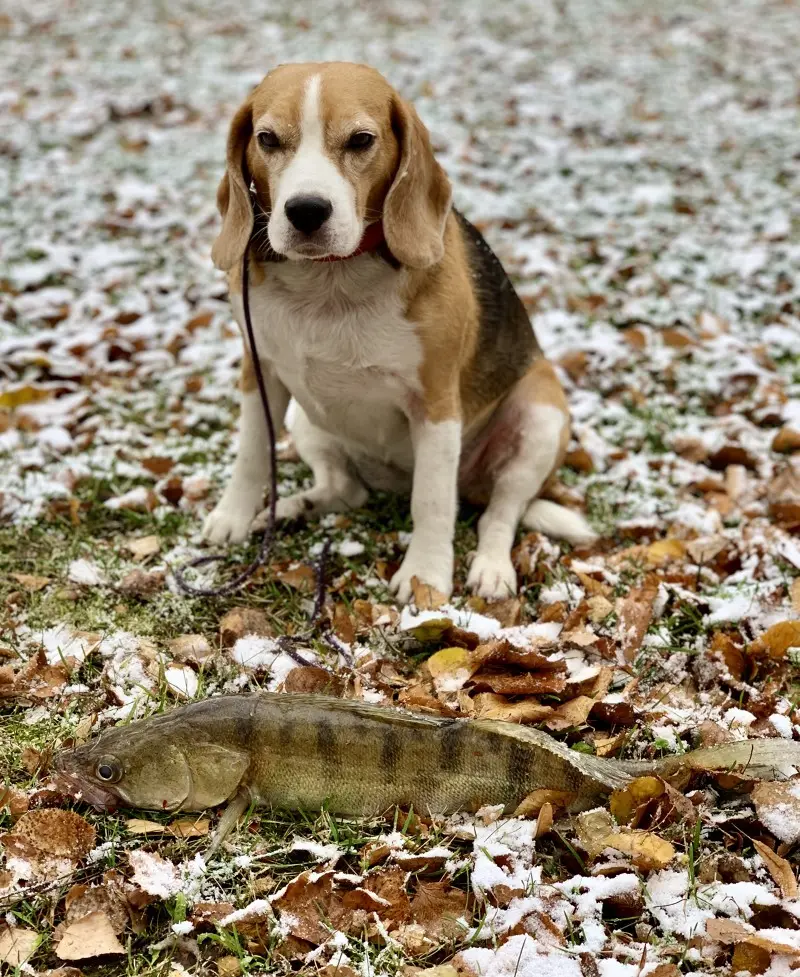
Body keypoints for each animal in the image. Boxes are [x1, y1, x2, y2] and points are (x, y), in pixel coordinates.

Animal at [203, 61, 596, 600]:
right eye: (267, 139)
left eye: (360, 140)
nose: (306, 211)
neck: (329, 282)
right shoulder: (259, 374)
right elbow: (252, 455)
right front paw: (233, 517)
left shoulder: (436, 404)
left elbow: (431, 501)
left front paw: (424, 577)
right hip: (308, 420)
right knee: (345, 491)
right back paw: (293, 509)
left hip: (539, 417)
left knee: (498, 512)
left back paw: (492, 567)